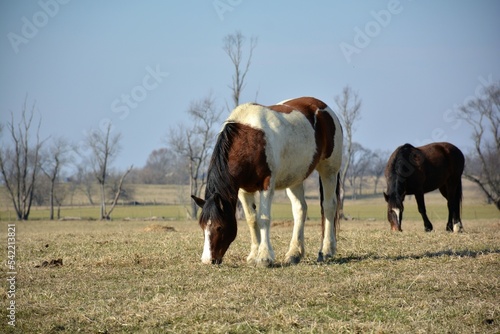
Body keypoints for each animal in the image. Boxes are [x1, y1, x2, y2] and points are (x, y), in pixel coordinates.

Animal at [191, 96, 344, 266]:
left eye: (219, 227)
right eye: (202, 226)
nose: (207, 260)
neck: (249, 139)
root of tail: (324, 108)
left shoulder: (266, 185)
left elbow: (263, 218)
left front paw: (264, 257)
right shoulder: (243, 190)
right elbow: (252, 220)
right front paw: (253, 255)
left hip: (329, 170)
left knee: (329, 206)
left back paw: (326, 251)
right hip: (295, 178)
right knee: (300, 209)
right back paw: (294, 254)